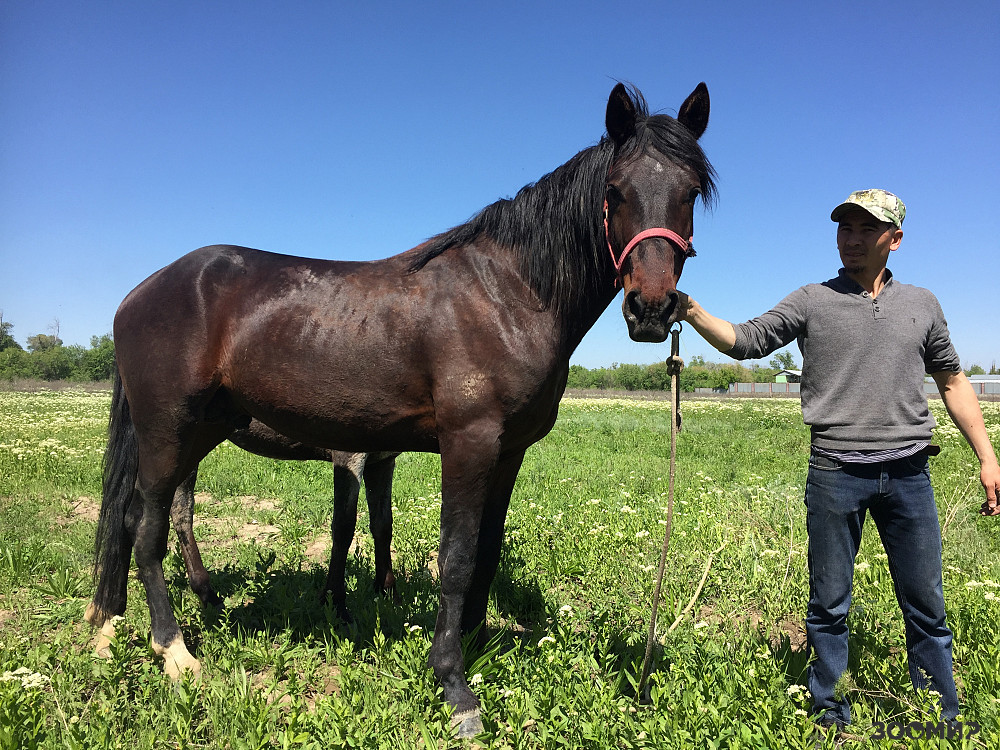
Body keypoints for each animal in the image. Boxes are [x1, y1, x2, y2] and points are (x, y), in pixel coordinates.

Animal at [166, 420, 396, 620]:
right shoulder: (348, 455)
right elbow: (344, 527)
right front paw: (335, 604)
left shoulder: (382, 461)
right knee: (181, 509)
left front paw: (387, 592)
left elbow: (382, 525)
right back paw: (207, 595)